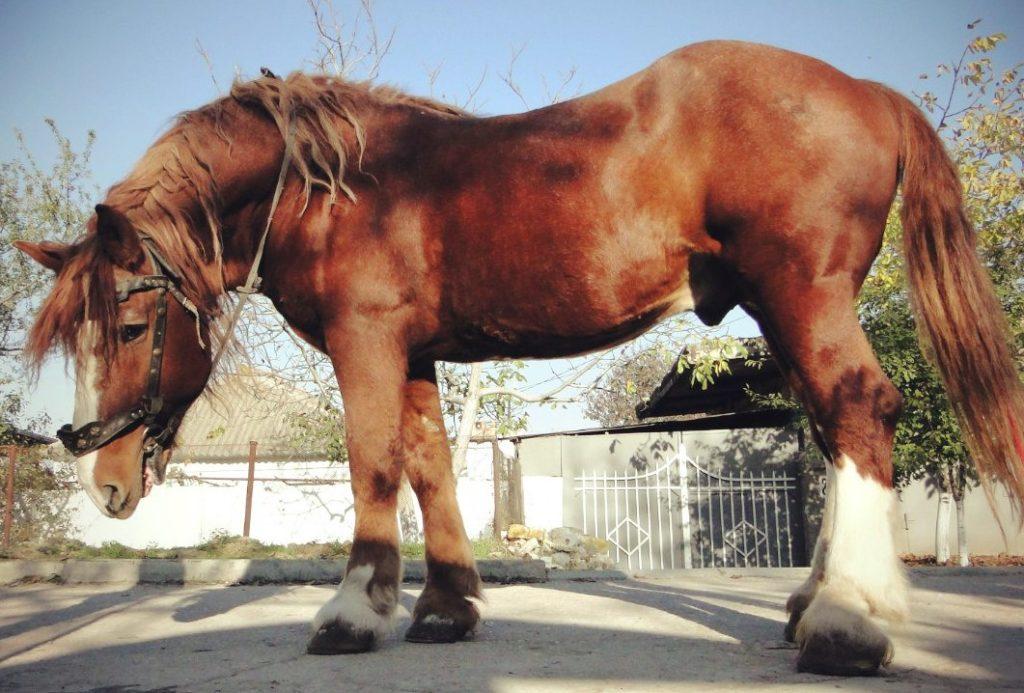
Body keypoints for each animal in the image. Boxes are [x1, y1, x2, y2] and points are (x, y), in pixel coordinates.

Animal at [17, 40, 1024, 675]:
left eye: (133, 328)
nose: (104, 482)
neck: (325, 187)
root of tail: (868, 90)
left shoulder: (365, 343)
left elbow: (373, 463)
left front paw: (353, 610)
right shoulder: (411, 354)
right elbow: (428, 465)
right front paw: (443, 606)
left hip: (801, 293)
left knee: (857, 407)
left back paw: (848, 620)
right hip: (785, 308)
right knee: (829, 421)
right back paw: (815, 603)